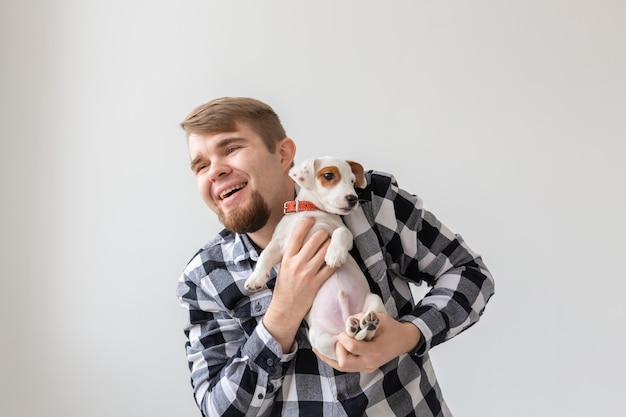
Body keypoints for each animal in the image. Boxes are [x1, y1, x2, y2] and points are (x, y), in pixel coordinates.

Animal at [244, 156, 386, 360]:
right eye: (329, 175)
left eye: (352, 181)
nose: (353, 199)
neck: (312, 211)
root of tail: (345, 319)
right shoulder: (279, 244)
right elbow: (265, 255)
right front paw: (255, 279)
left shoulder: (343, 233)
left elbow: (341, 232)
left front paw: (334, 254)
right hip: (319, 337)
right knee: (343, 342)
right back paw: (354, 327)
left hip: (374, 302)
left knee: (365, 337)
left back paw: (368, 325)